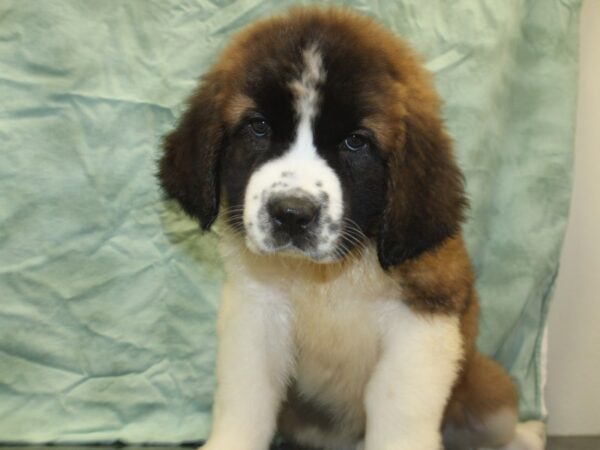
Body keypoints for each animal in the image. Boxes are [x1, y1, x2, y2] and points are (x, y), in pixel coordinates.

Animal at [157, 7, 548, 450]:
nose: (292, 214)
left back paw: (528, 434)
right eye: (258, 127)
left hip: (487, 387)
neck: (331, 273)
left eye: (356, 143)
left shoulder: (422, 322)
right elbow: (246, 399)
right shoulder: (256, 311)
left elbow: (397, 409)